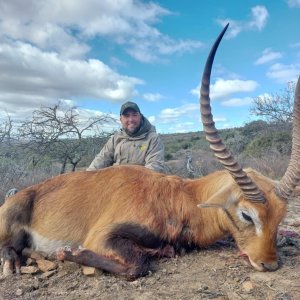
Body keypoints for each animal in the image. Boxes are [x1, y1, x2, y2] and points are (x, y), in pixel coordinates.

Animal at [0, 24, 300, 280]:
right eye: (247, 215)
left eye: (280, 216)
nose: (269, 264)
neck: (178, 197)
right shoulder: (102, 237)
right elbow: (138, 265)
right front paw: (68, 252)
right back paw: (13, 264)